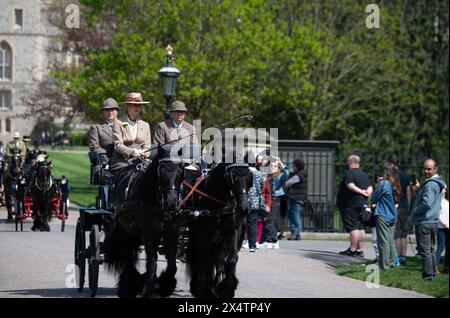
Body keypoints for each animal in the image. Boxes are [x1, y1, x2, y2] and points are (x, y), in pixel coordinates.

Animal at [103, 154, 185, 298]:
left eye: (180, 175)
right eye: (160, 175)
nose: (171, 203)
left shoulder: (172, 232)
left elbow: (171, 266)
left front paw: (165, 285)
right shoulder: (148, 234)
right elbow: (151, 265)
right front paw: (148, 289)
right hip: (125, 231)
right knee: (127, 257)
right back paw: (129, 287)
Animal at [185, 164, 251, 298]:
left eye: (249, 176)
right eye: (233, 177)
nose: (245, 208)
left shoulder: (233, 232)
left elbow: (232, 259)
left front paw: (227, 288)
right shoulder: (205, 236)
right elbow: (207, 263)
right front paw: (207, 291)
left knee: (218, 260)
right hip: (198, 235)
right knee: (201, 258)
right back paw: (198, 285)